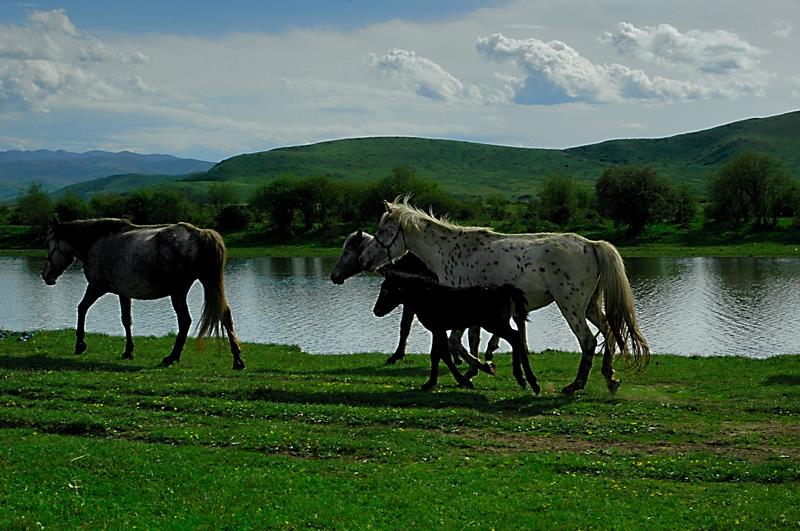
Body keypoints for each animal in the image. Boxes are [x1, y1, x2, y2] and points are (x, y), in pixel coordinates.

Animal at [374, 276, 536, 392]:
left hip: (494, 324)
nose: (376, 311)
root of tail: (503, 289)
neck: (427, 296)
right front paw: (432, 382)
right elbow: (438, 355)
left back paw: (526, 380)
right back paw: (528, 381)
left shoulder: (437, 329)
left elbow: (441, 355)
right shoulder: (438, 330)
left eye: (386, 291)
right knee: (517, 337)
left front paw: (463, 381)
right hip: (498, 324)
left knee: (515, 337)